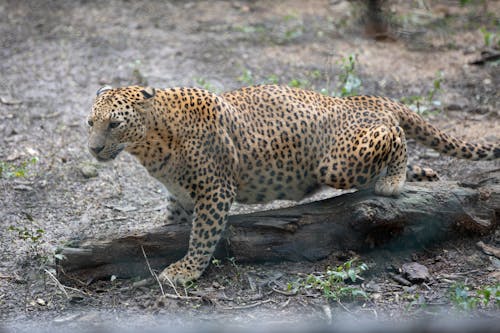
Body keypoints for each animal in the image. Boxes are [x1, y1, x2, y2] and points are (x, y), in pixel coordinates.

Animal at [88, 83, 498, 282]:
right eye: (90, 122)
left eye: (115, 124)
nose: (93, 149)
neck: (150, 144)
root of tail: (364, 98)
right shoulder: (180, 194)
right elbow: (173, 220)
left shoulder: (216, 190)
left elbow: (202, 237)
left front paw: (185, 271)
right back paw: (425, 174)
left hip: (337, 162)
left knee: (394, 136)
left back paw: (394, 179)